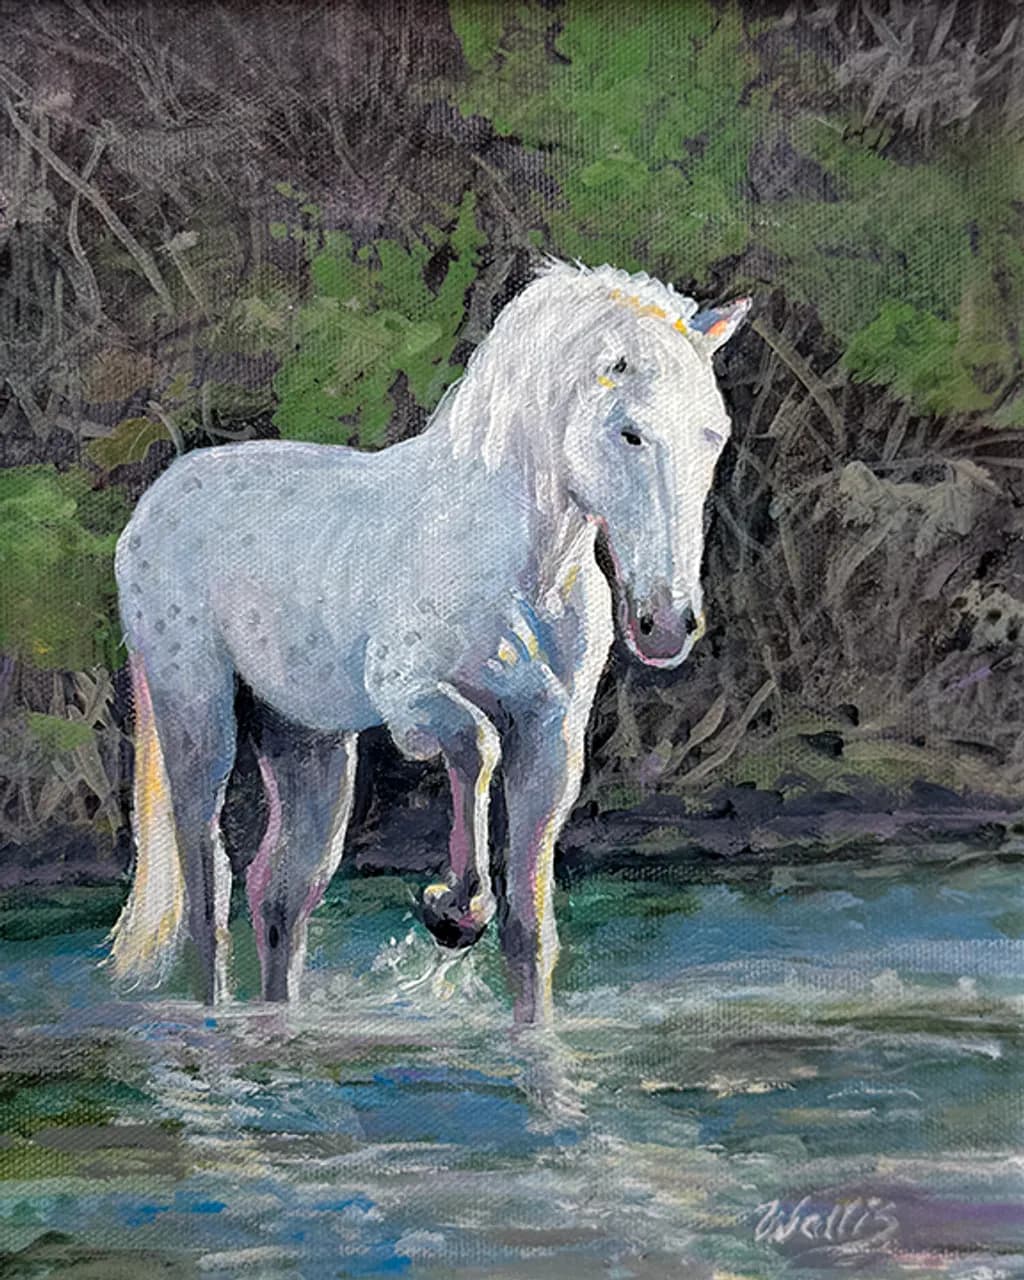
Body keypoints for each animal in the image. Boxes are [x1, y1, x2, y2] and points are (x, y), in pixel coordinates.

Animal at [108, 259, 749, 1024]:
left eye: (713, 434)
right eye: (630, 434)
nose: (667, 624)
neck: (521, 565)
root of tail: (154, 502)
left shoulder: (551, 734)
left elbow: (530, 931)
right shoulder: (412, 700)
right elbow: (476, 747)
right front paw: (453, 911)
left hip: (306, 743)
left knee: (280, 896)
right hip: (198, 719)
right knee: (210, 893)